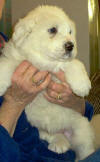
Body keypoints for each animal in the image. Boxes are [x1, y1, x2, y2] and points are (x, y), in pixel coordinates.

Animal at [0, 5, 94, 161]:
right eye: (52, 30)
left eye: (70, 32)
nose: (70, 46)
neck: (43, 62)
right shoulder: (18, 60)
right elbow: (6, 64)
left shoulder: (62, 65)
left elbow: (74, 63)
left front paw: (82, 86)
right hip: (40, 129)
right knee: (52, 135)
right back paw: (59, 143)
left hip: (82, 130)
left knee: (87, 150)